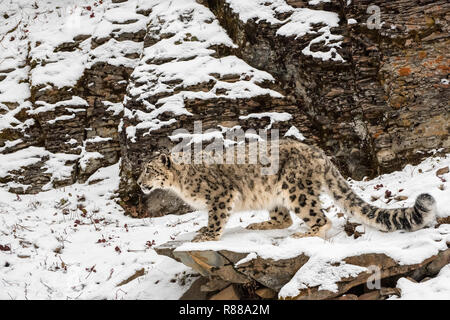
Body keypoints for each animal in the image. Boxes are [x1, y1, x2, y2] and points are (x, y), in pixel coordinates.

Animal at [136, 139, 436, 241]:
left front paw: (207, 235)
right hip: (274, 195)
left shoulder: (220, 196)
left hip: (296, 190)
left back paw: (305, 234)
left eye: (149, 169)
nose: (139, 182)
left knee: (319, 218)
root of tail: (319, 154)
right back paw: (259, 225)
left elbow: (217, 217)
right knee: (284, 218)